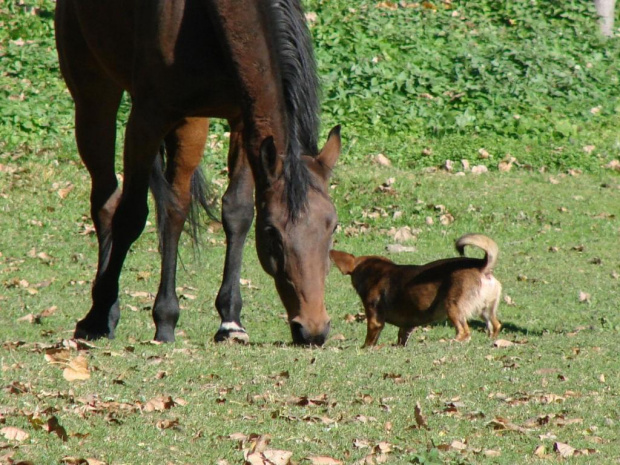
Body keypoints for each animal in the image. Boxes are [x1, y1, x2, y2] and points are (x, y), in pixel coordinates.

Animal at [54, 0, 340, 344]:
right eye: (273, 233)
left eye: (333, 227)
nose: (313, 329)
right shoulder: (148, 119)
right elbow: (132, 216)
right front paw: (128, 317)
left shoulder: (243, 121)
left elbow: (237, 213)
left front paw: (230, 321)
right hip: (95, 96)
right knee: (108, 202)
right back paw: (105, 313)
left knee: (172, 206)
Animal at [332, 234, 502, 346]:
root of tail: (482, 266)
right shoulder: (407, 325)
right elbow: (402, 336)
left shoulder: (375, 319)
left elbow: (370, 339)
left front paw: (365, 348)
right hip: (486, 310)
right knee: (496, 325)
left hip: (453, 307)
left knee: (464, 332)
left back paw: (449, 341)